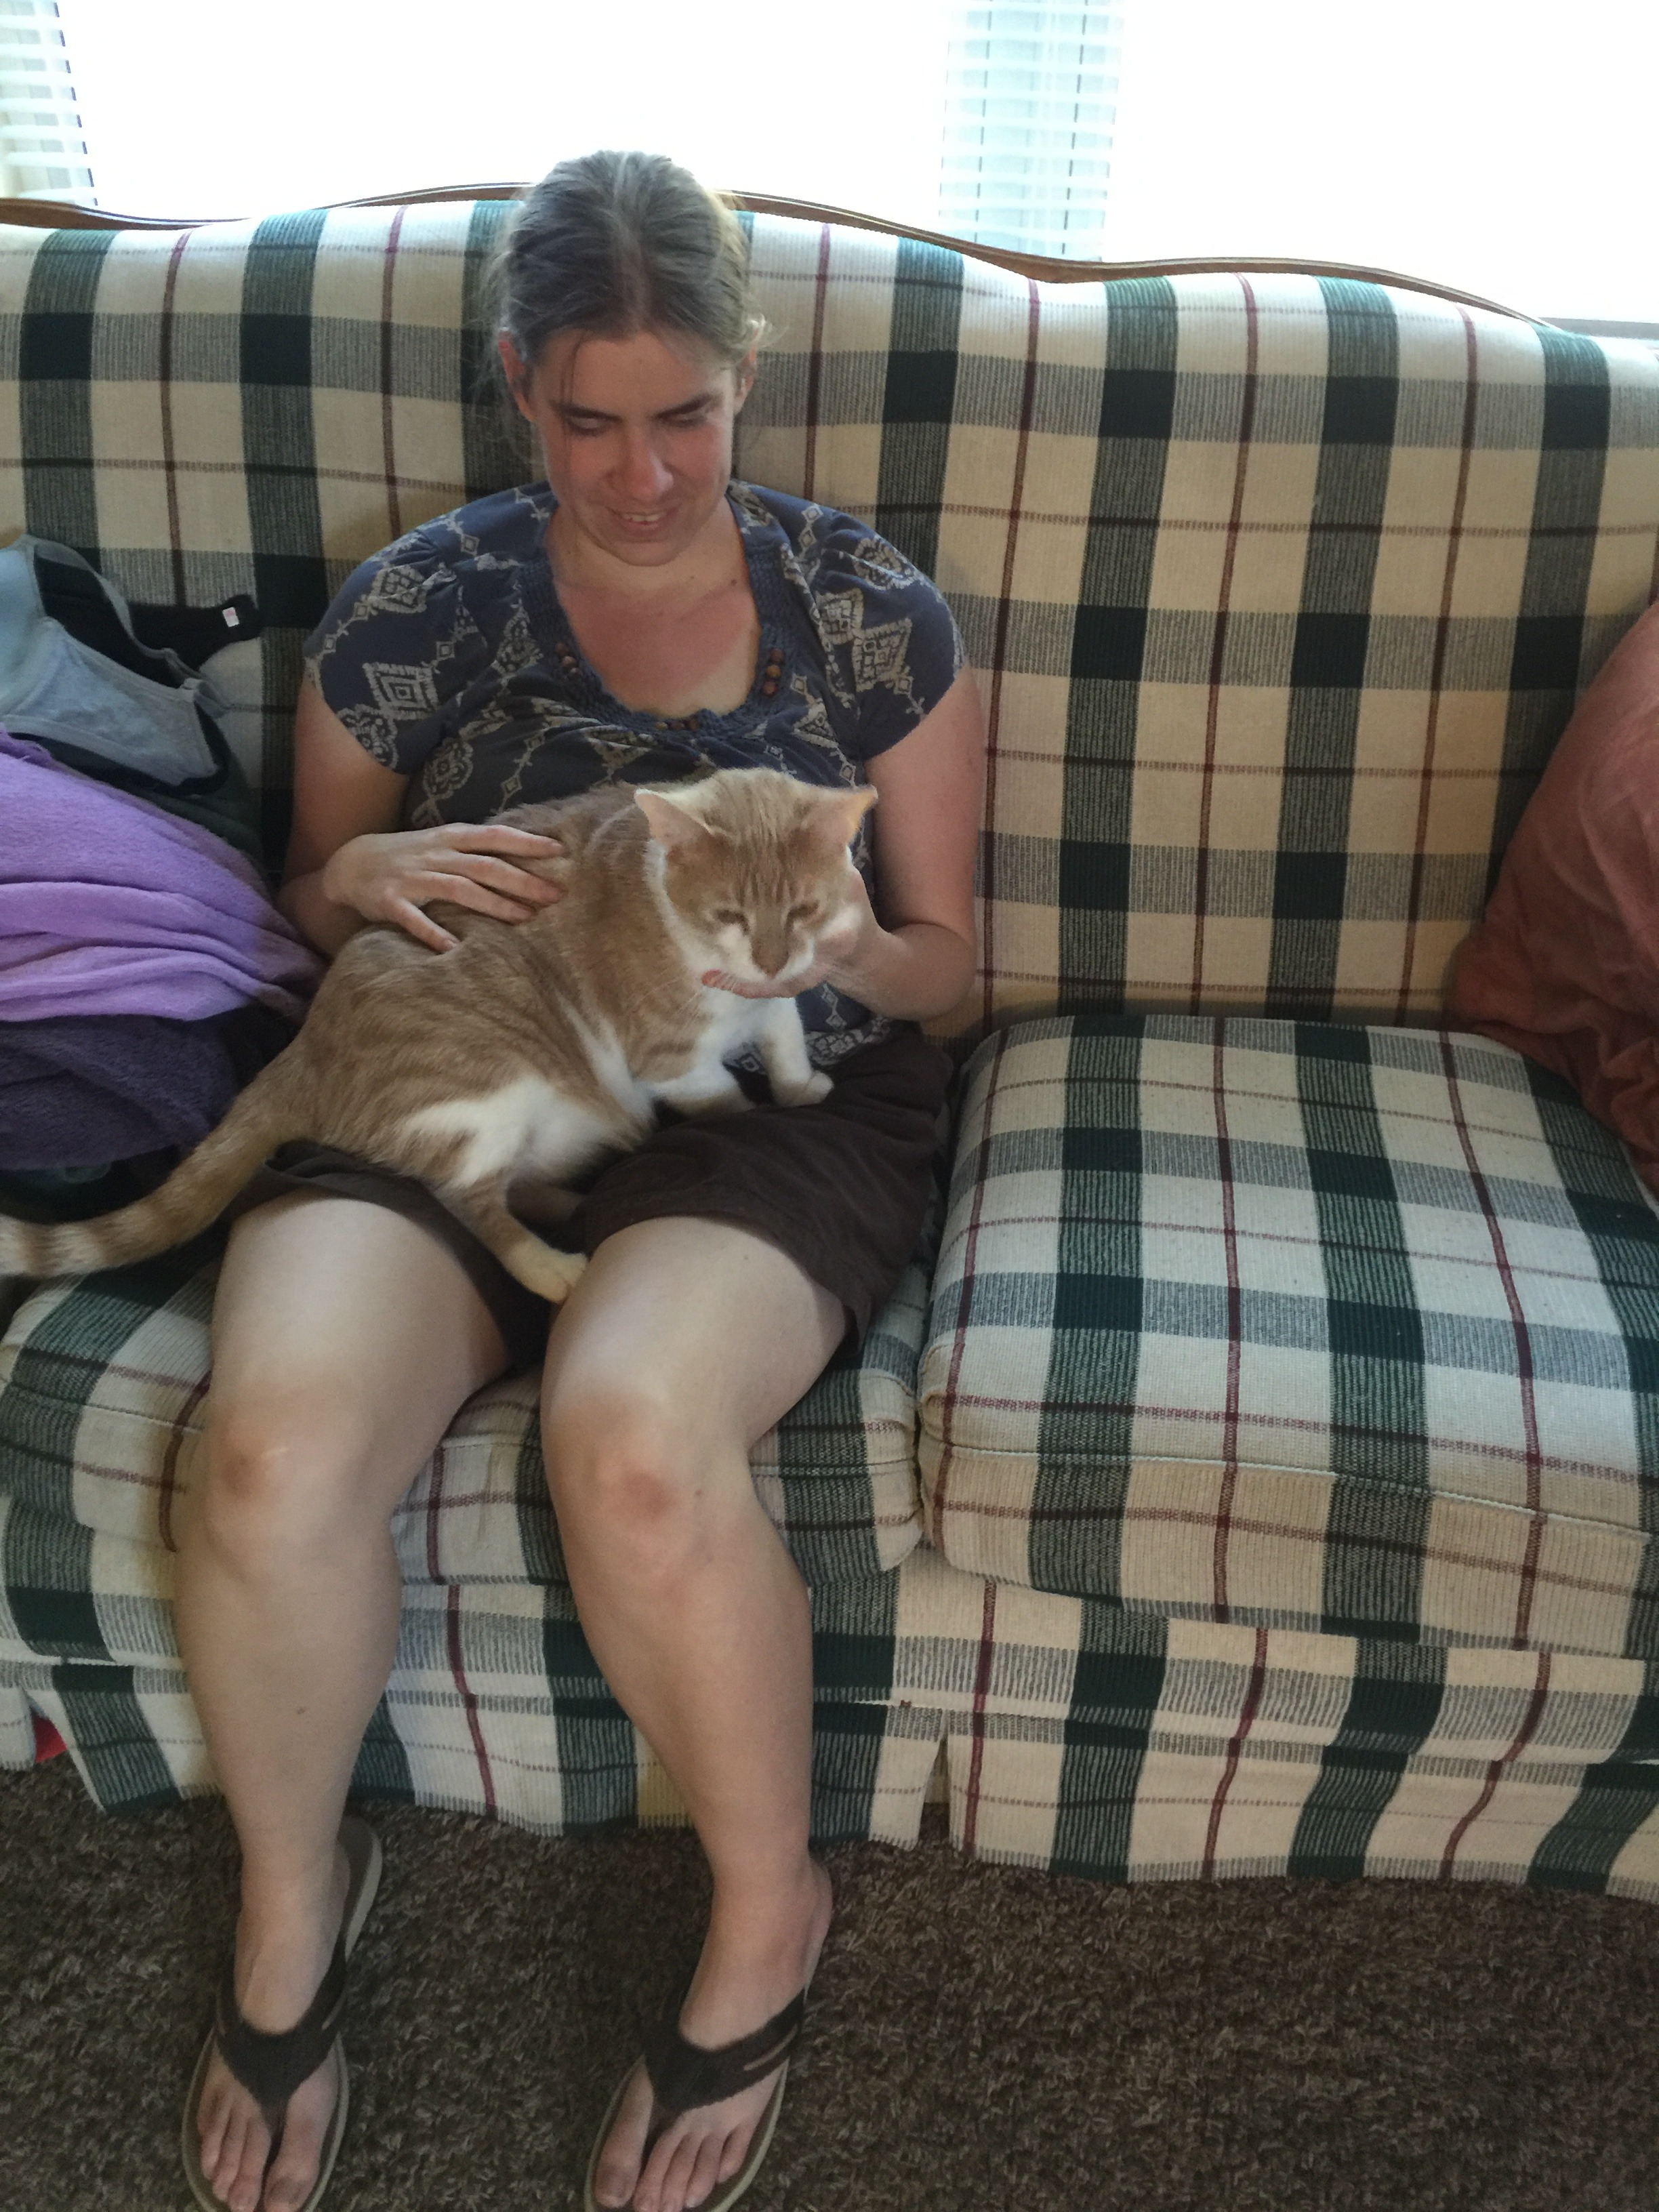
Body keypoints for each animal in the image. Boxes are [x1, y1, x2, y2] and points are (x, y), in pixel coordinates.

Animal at [0, 766, 875, 1300]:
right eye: (730, 915)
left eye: (801, 910)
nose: (769, 957)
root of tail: (303, 1049)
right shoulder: (669, 1060)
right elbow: (726, 1097)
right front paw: (757, 1112)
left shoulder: (777, 1001)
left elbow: (786, 1039)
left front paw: (801, 1085)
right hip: (489, 1089)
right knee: (470, 1197)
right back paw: (549, 1264)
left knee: (516, 1181)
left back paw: (571, 1196)